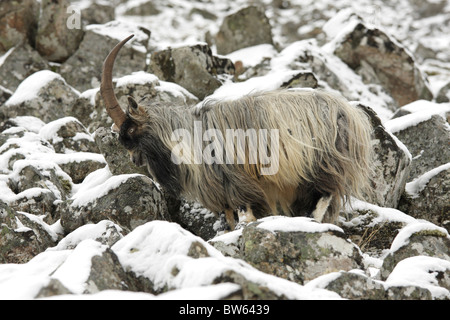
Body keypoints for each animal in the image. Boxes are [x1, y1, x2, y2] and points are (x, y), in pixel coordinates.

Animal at [101, 35, 372, 229]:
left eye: (132, 129)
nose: (133, 159)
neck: (190, 137)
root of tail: (351, 115)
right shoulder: (223, 195)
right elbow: (230, 220)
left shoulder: (237, 183)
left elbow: (245, 215)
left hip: (323, 164)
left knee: (324, 195)